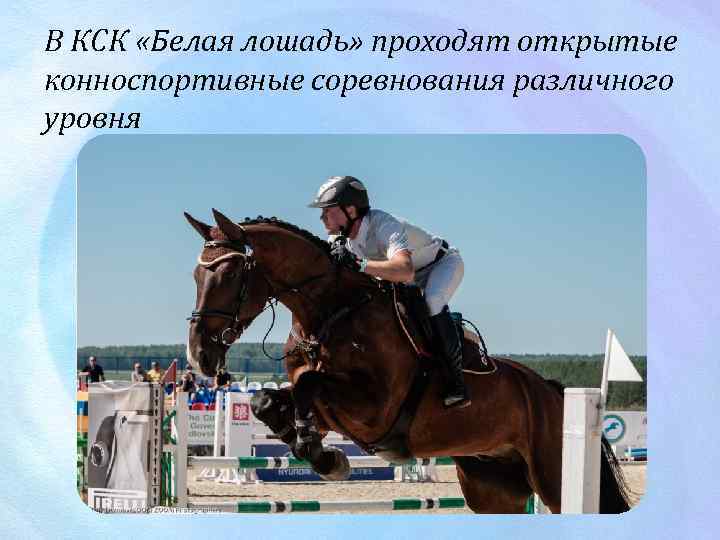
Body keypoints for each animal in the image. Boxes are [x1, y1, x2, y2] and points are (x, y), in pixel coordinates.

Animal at [184, 209, 631, 514]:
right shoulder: (329, 406)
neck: (331, 313)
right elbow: (270, 400)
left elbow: (311, 386)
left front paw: (321, 454)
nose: (199, 356)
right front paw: (316, 450)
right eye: (196, 276)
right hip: (492, 485)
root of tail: (551, 390)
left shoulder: (375, 409)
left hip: (552, 476)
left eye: (229, 275)